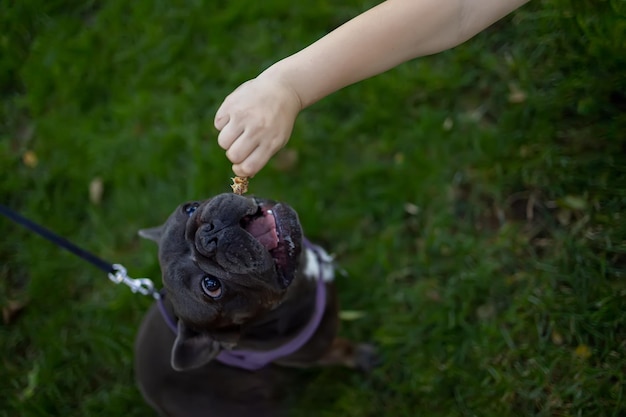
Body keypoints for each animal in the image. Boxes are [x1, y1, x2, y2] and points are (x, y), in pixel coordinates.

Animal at [134, 193, 372, 414]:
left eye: (190, 208)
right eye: (211, 285)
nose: (211, 232)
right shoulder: (318, 352)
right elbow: (342, 349)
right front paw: (362, 356)